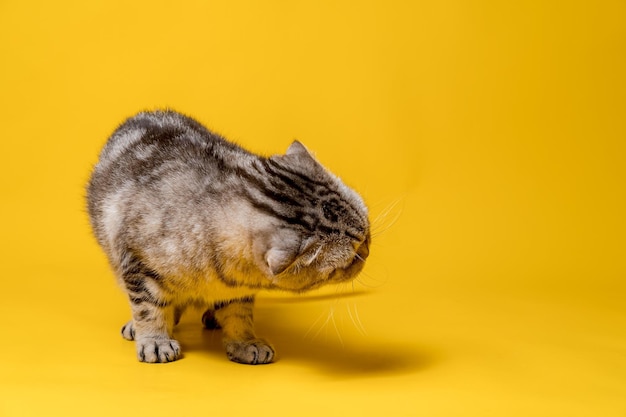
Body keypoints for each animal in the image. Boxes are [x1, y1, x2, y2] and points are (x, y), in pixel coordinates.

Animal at [85, 110, 368, 364]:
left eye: (366, 235)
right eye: (353, 255)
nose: (367, 252)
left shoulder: (239, 284)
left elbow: (238, 314)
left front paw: (244, 342)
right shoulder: (136, 262)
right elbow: (148, 308)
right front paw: (155, 340)